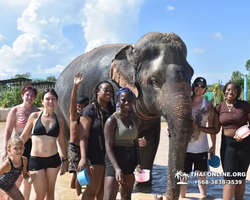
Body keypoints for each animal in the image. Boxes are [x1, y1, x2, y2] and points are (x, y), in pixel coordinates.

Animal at [55, 32, 193, 199]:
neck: (132, 51)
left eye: (192, 74)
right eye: (154, 81)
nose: (159, 196)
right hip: (60, 110)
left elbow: (152, 141)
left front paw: (143, 187)